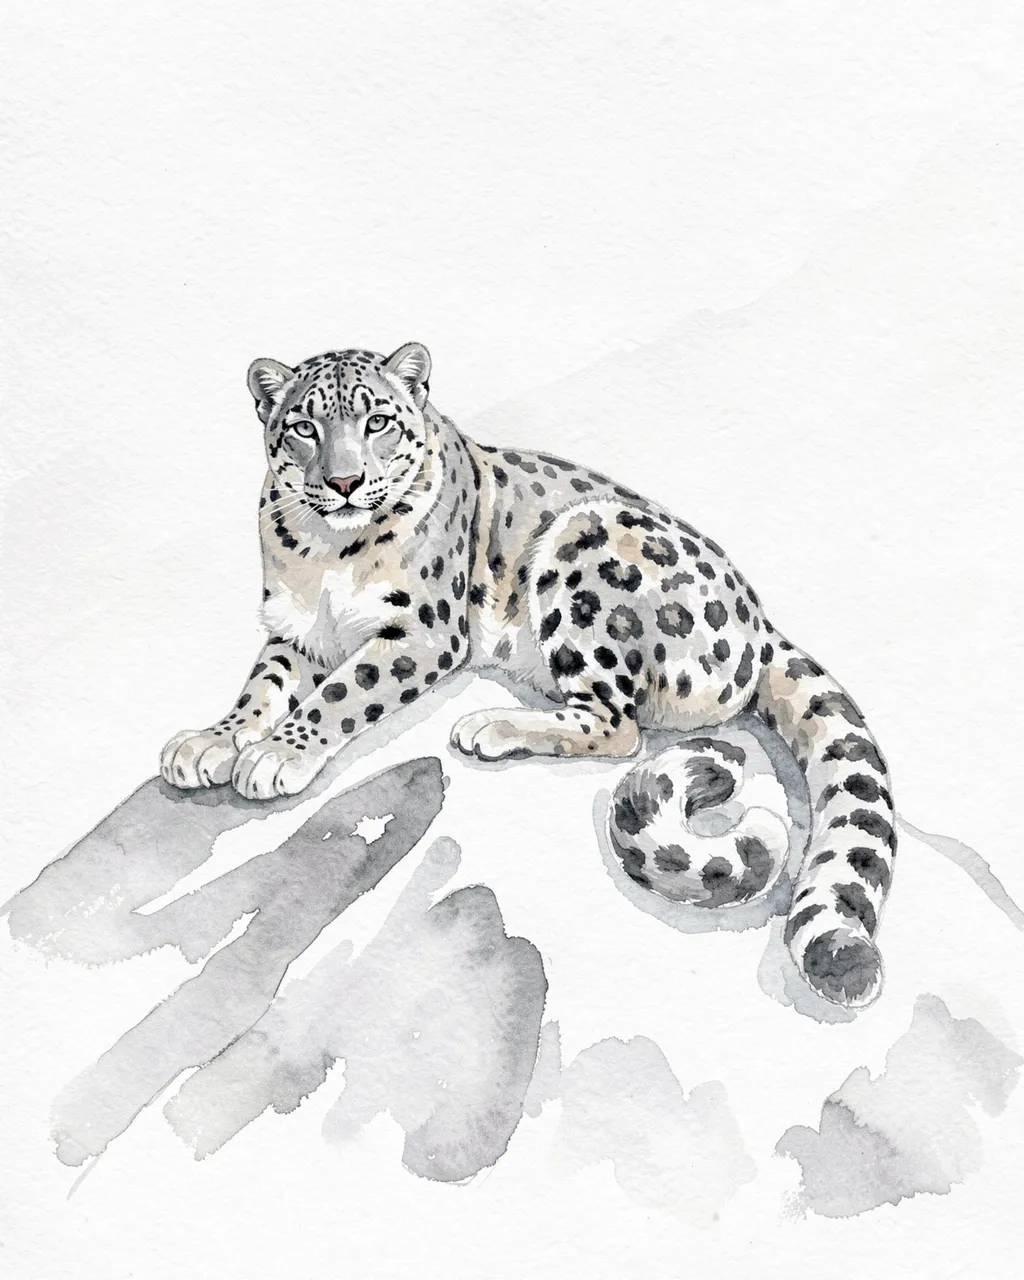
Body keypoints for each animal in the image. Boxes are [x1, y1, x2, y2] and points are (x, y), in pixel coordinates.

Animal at [161, 342, 896, 1009]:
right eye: (304, 427)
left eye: (378, 422)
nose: (344, 482)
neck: (325, 553)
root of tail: (760, 622)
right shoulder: (295, 630)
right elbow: (259, 689)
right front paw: (210, 742)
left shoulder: (423, 631)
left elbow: (341, 693)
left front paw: (277, 756)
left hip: (585, 549)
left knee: (617, 725)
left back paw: (492, 726)